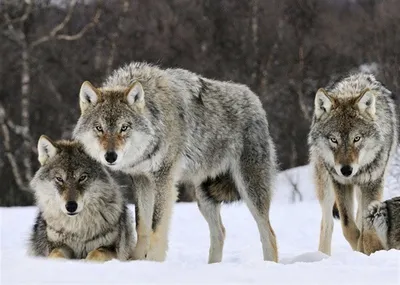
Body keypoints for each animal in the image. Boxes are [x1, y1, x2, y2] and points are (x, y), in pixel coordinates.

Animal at [72, 61, 278, 262]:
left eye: (124, 127)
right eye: (99, 128)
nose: (110, 156)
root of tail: (254, 99)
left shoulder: (164, 179)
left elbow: (156, 226)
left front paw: (153, 262)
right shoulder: (141, 179)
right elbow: (142, 225)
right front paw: (136, 260)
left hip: (249, 189)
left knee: (268, 233)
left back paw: (269, 264)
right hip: (204, 196)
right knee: (220, 232)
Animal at [310, 72, 396, 254]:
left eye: (356, 138)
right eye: (333, 140)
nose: (346, 170)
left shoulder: (373, 183)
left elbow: (367, 229)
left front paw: (368, 250)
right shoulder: (340, 183)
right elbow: (348, 227)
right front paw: (359, 247)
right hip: (326, 186)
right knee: (327, 224)